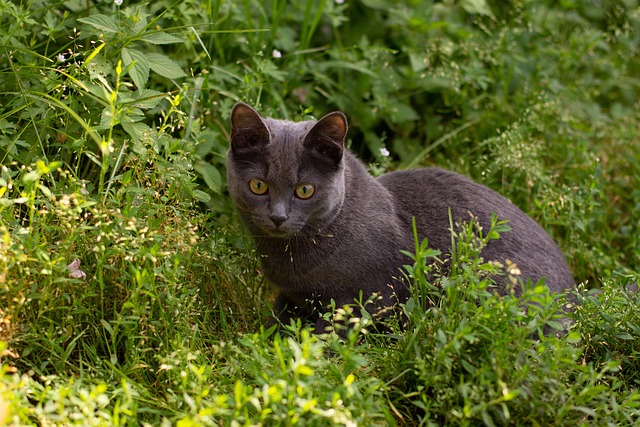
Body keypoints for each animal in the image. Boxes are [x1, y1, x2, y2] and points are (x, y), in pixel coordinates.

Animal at [226, 103, 576, 334]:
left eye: (305, 190)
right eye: (258, 186)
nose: (278, 216)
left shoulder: (362, 299)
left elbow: (329, 335)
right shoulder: (291, 295)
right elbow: (278, 317)